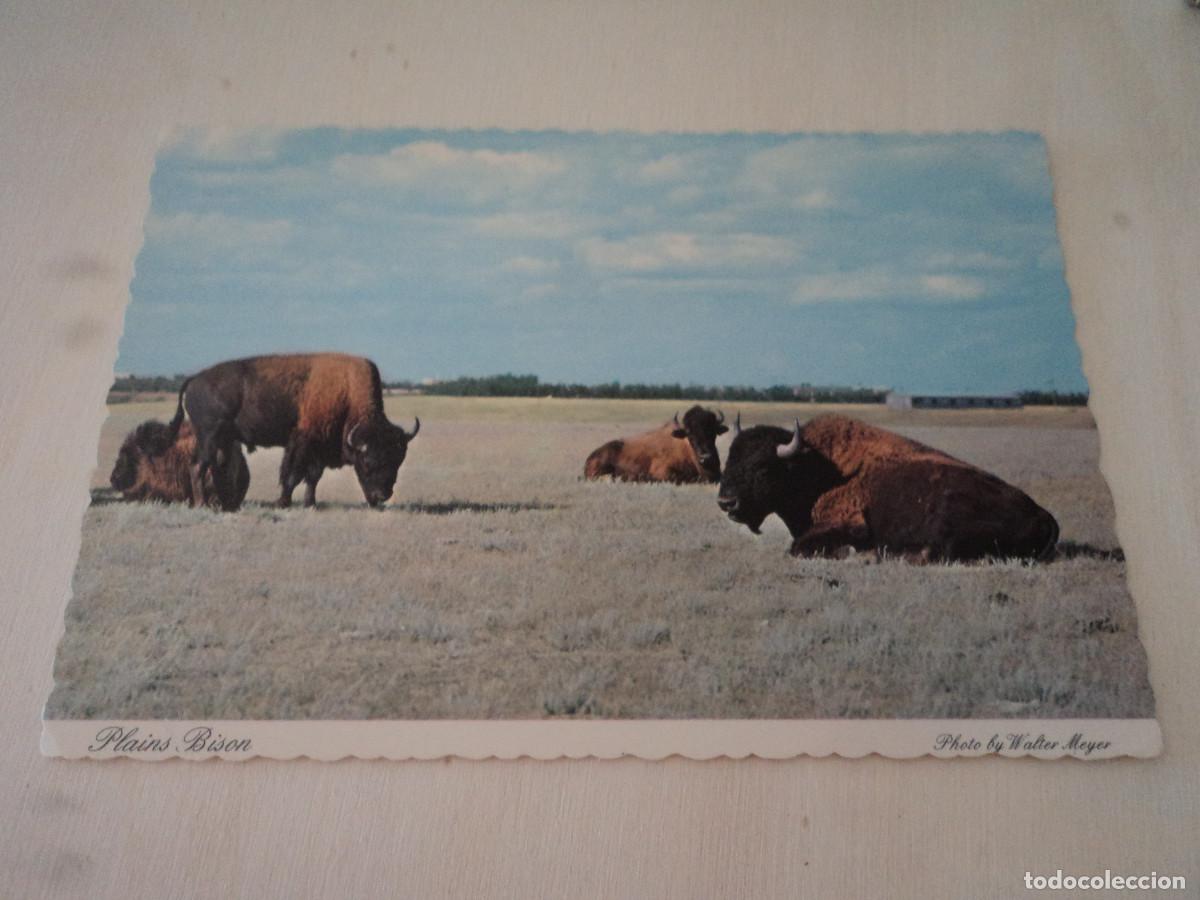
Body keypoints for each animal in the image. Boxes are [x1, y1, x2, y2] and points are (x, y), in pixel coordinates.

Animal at [163, 353, 419, 508]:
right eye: (367, 462)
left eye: (397, 461)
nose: (381, 496)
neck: (346, 394)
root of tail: (194, 379)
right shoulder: (301, 444)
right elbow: (292, 475)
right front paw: (283, 502)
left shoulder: (319, 448)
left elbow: (313, 477)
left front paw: (310, 503)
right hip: (208, 437)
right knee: (198, 466)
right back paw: (202, 504)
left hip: (223, 440)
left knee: (217, 467)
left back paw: (226, 504)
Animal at [717, 414, 1059, 562]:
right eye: (729, 459)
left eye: (762, 468)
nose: (726, 502)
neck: (813, 468)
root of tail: (1043, 515)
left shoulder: (847, 524)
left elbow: (798, 546)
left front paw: (850, 551)